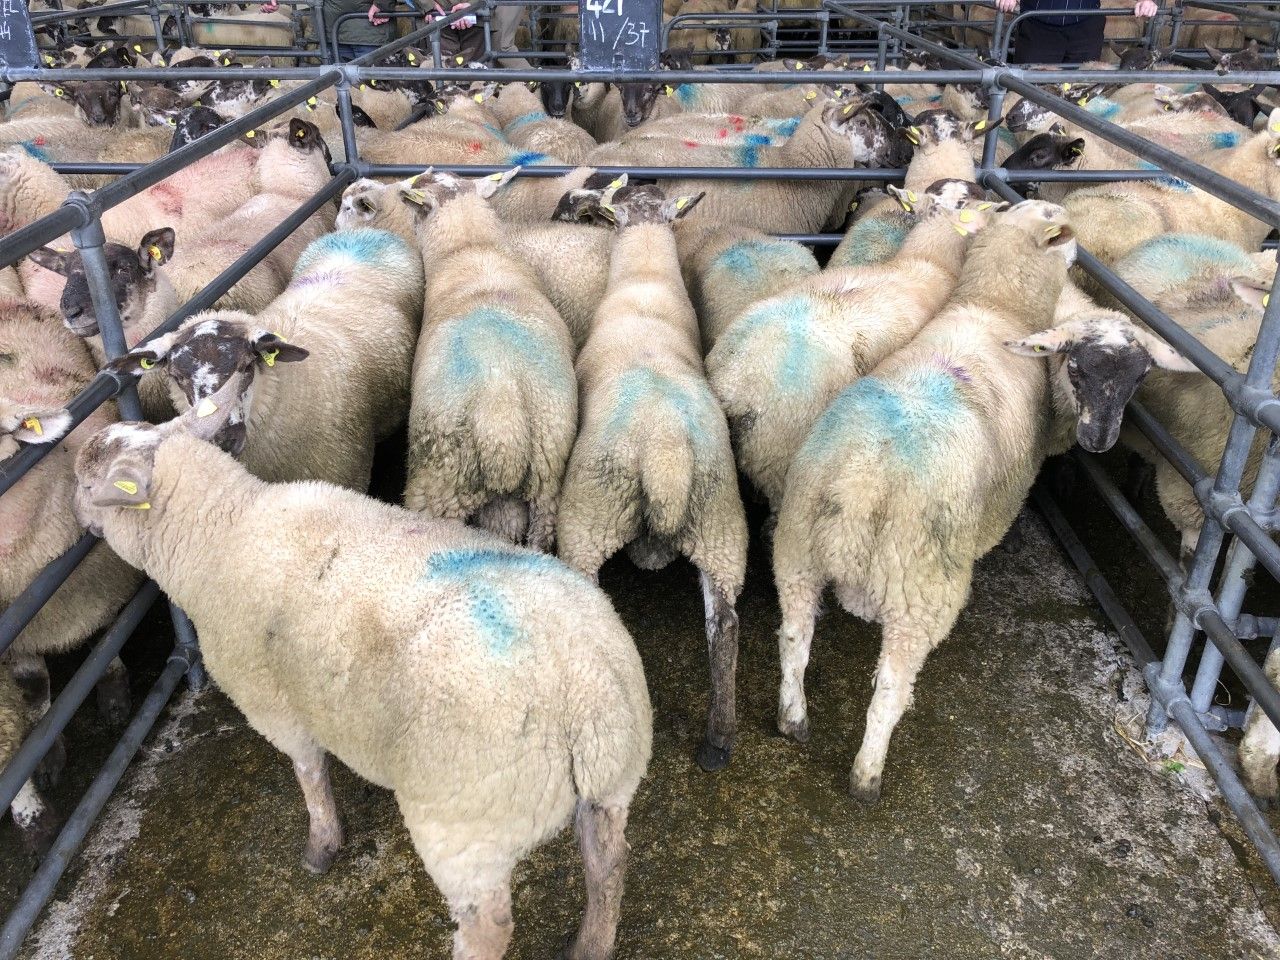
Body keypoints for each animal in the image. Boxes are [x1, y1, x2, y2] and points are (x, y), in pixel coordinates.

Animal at [554, 183, 748, 771]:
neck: (644, 280)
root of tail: (665, 460)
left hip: (590, 514)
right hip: (720, 524)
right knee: (725, 627)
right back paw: (717, 740)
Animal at [772, 201, 1082, 802]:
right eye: (1055, 219)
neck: (994, 308)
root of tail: (861, 481)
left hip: (798, 548)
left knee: (795, 637)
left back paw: (792, 718)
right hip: (922, 587)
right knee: (891, 685)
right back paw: (868, 774)